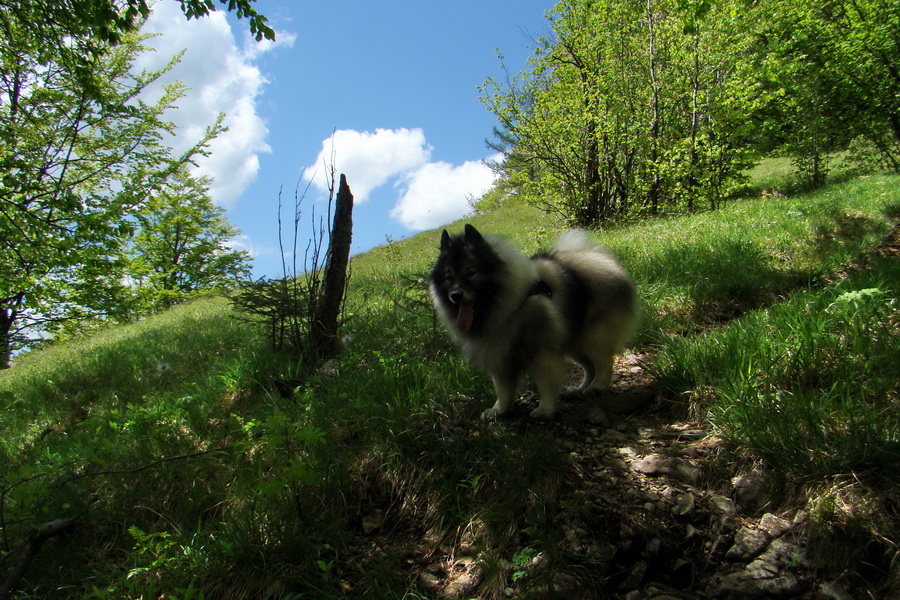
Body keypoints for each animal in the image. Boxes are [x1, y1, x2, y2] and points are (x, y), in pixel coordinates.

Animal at [430, 224, 636, 418]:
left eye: (471, 273)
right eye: (449, 277)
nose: (456, 295)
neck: (510, 307)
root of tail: (599, 257)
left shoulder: (541, 353)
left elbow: (544, 383)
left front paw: (545, 410)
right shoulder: (499, 355)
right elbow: (502, 389)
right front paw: (498, 410)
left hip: (591, 337)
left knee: (603, 362)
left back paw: (597, 386)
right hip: (574, 342)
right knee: (589, 367)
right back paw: (581, 389)